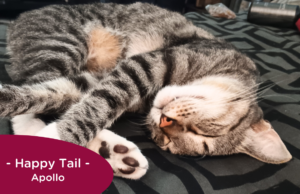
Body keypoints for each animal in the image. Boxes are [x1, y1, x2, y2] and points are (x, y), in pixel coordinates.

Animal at [0, 2, 290, 180]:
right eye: (206, 134)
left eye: (166, 143)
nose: (164, 122)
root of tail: (16, 20)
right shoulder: (150, 63)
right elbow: (92, 107)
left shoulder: (97, 80)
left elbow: (65, 96)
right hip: (61, 44)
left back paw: (113, 152)